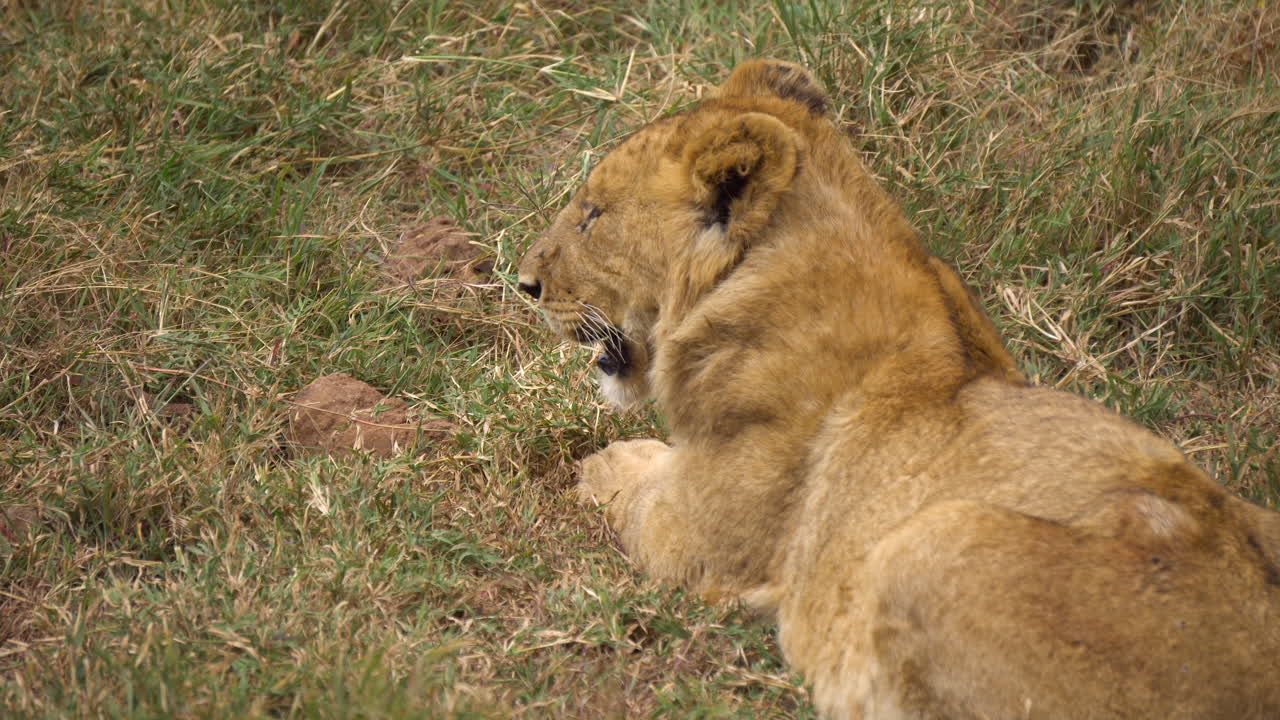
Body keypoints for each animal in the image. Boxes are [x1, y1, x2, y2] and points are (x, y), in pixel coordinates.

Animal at [516, 60, 1280, 719]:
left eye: (592, 214)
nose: (525, 284)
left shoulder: (696, 537)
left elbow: (633, 485)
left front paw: (598, 465)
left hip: (929, 545)